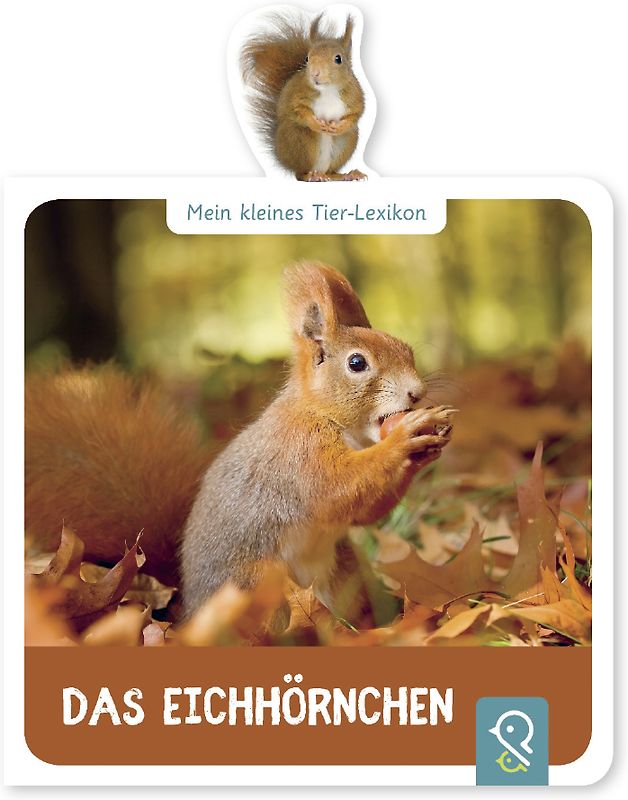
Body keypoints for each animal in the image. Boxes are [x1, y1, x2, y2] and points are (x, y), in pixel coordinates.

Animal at [25, 263, 456, 620]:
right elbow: (336, 488)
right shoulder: (298, 451)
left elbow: (362, 510)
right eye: (356, 363)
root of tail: (189, 607)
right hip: (256, 586)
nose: (417, 392)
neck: (327, 417)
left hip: (344, 569)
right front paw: (406, 439)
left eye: (406, 349)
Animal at [240, 11, 366, 182]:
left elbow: (356, 114)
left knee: (331, 172)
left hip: (346, 141)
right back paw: (311, 176)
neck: (328, 90)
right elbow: (298, 110)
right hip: (301, 141)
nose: (315, 73)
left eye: (338, 59)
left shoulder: (355, 95)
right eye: (307, 58)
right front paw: (315, 123)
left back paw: (346, 175)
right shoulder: (297, 94)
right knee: (300, 173)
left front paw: (339, 126)